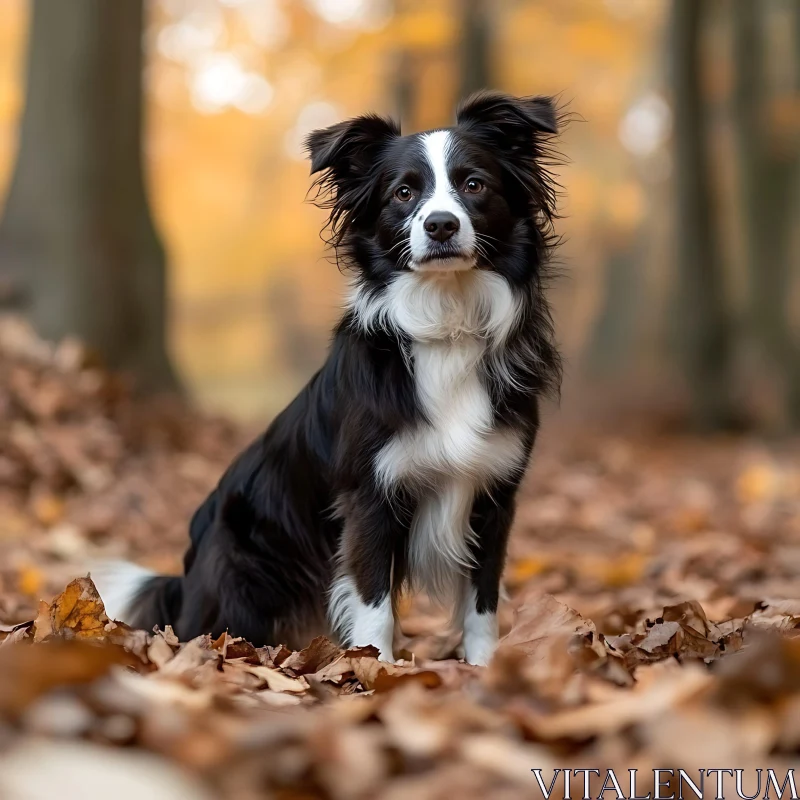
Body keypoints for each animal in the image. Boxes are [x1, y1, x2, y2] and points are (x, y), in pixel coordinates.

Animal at [97, 92, 564, 668]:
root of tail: (187, 576)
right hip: (242, 572)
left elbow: (483, 603)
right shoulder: (369, 496)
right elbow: (374, 603)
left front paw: (483, 671)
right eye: (404, 192)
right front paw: (375, 670)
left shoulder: (495, 493)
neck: (447, 324)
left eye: (474, 184)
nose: (440, 225)